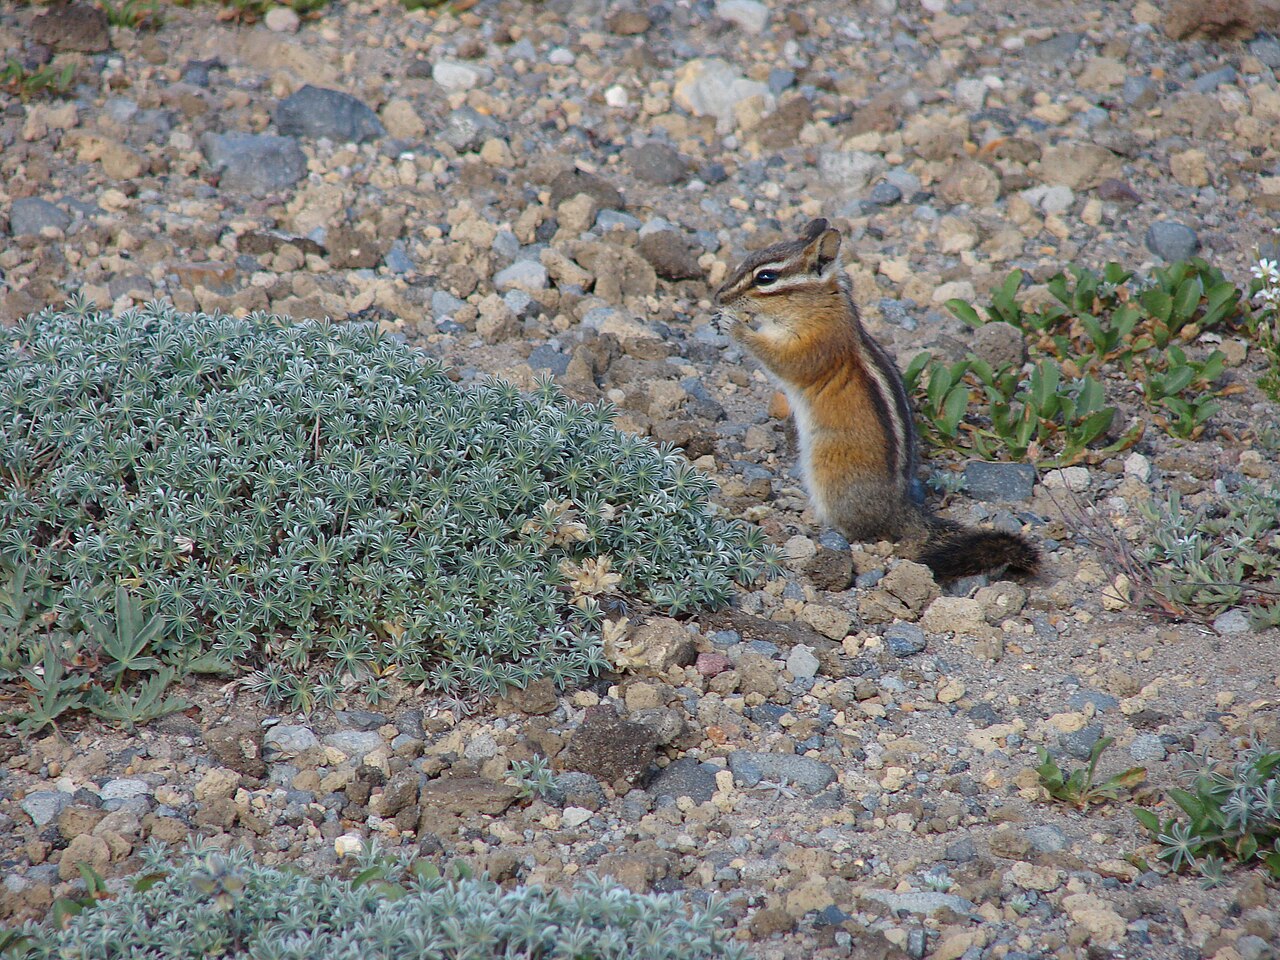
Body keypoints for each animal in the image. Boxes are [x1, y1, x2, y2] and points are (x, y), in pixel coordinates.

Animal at [714, 218, 1039, 580]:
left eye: (766, 278)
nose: (719, 296)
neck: (818, 304)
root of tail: (899, 509)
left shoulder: (814, 345)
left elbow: (780, 360)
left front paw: (734, 326)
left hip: (830, 475)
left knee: (858, 530)